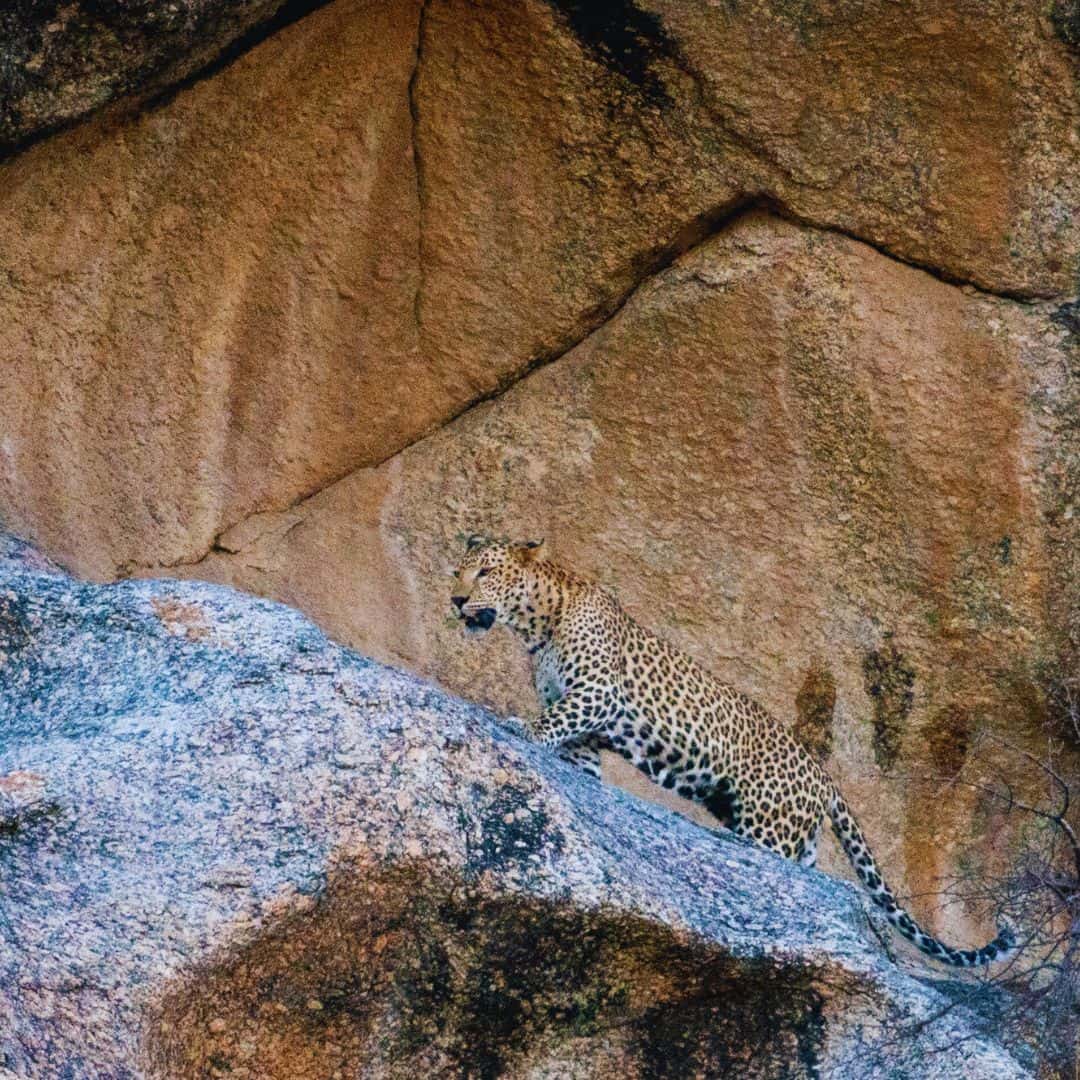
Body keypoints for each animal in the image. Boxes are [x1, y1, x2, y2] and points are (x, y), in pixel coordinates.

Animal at [451, 535, 1015, 968]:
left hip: (768, 823)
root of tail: (823, 774)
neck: (539, 621)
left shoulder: (596, 693)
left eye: (485, 572)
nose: (456, 600)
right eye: (459, 572)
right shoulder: (584, 726)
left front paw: (519, 727)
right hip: (795, 837)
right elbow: (577, 756)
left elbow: (552, 721)